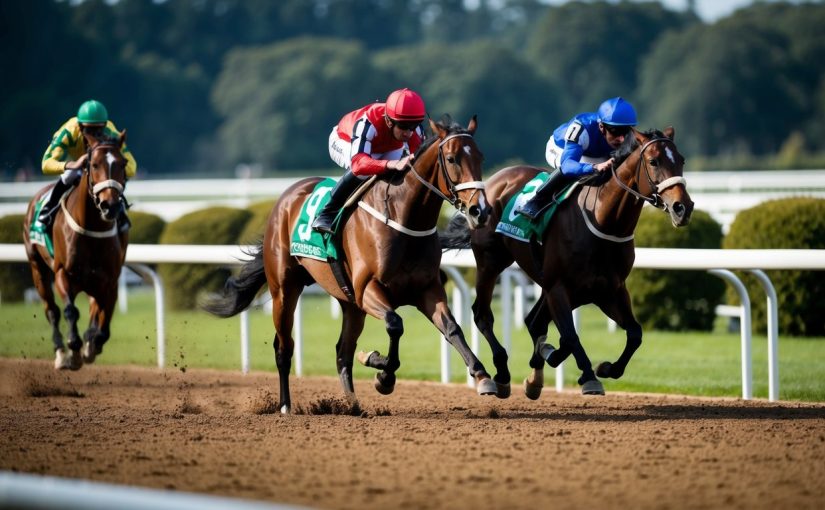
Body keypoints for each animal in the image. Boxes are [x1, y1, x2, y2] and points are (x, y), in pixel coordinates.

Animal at [22, 131, 130, 370]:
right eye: (94, 164)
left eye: (123, 163)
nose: (110, 206)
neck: (92, 229)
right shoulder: (63, 273)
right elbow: (70, 310)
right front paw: (74, 347)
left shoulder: (110, 281)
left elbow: (104, 324)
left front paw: (91, 344)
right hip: (37, 267)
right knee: (51, 310)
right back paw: (61, 352)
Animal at [204, 116, 496, 414]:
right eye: (451, 159)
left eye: (481, 157)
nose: (480, 211)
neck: (403, 219)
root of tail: (284, 199)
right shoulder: (368, 289)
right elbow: (395, 324)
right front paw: (382, 371)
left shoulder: (426, 289)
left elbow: (452, 328)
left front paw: (482, 375)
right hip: (285, 289)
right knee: (284, 347)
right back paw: (286, 406)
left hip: (350, 303)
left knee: (342, 353)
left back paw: (353, 406)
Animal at [440, 127, 692, 398]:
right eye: (654, 161)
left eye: (681, 160)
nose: (683, 207)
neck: (603, 220)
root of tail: (491, 182)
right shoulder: (560, 288)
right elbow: (570, 336)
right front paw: (589, 376)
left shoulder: (609, 290)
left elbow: (634, 333)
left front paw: (605, 367)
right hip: (491, 262)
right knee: (483, 314)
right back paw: (503, 375)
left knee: (534, 321)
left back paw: (535, 375)